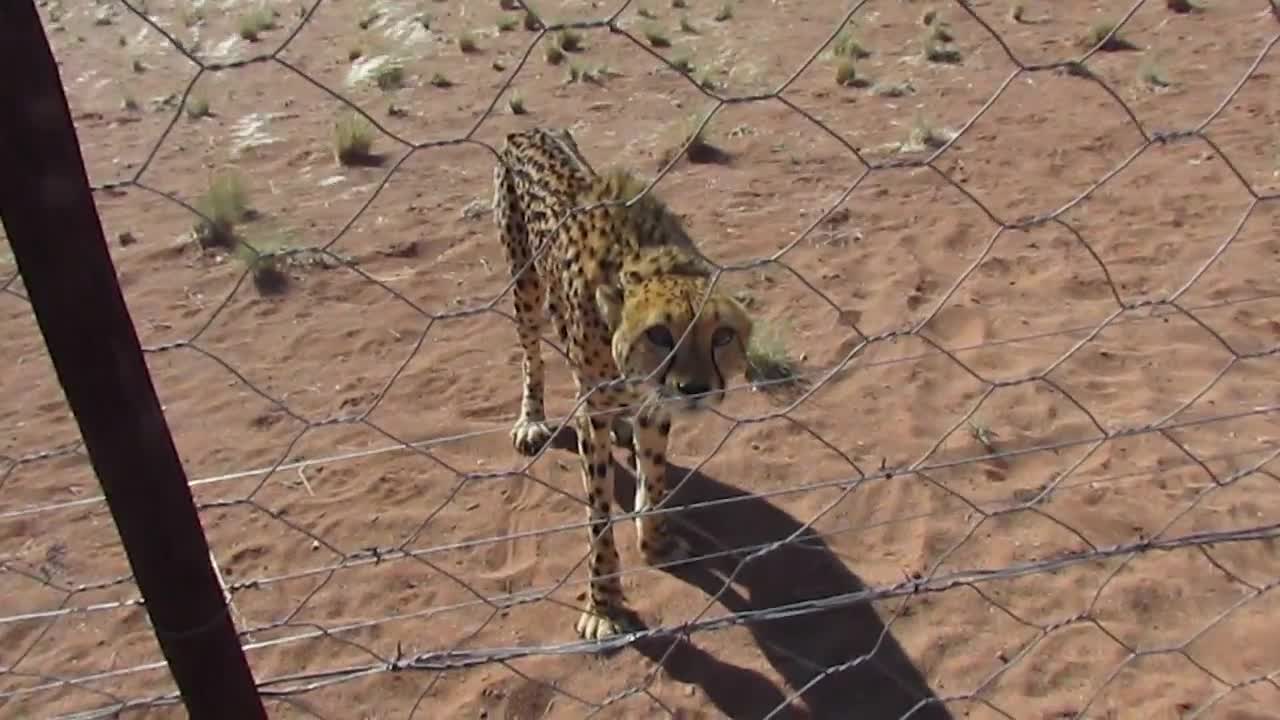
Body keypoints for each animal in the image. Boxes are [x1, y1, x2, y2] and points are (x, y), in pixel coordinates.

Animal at [486, 126, 747, 635]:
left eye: (722, 336)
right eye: (659, 334)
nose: (695, 390)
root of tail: (528, 129)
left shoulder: (655, 405)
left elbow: (656, 476)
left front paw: (657, 541)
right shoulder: (593, 413)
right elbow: (599, 514)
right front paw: (603, 606)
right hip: (524, 284)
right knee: (532, 355)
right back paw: (532, 420)